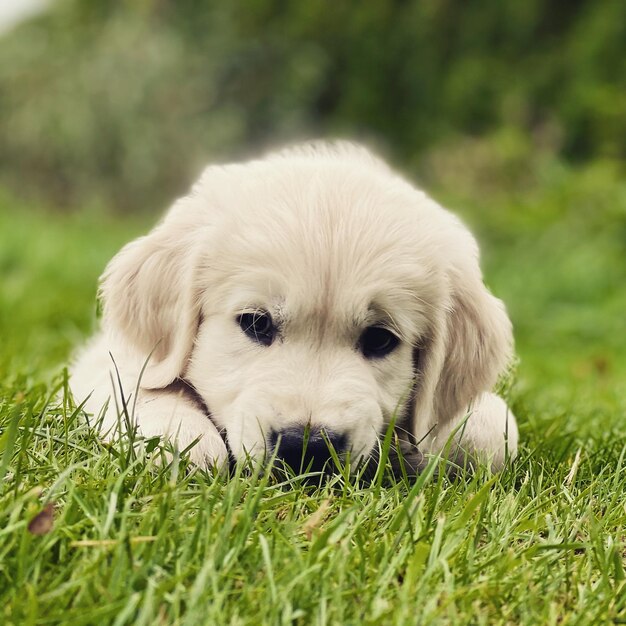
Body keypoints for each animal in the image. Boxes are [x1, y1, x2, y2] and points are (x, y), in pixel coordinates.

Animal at [69, 141, 516, 470]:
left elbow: (492, 432)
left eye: (379, 339)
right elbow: (139, 386)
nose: (309, 447)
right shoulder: (107, 359)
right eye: (256, 323)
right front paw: (181, 437)